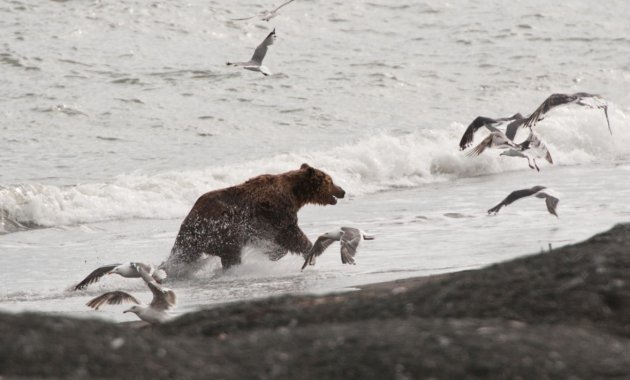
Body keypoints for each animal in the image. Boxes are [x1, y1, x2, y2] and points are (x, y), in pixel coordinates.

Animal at [162, 163, 346, 276]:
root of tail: (191, 217)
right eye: (330, 181)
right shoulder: (276, 213)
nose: (342, 190)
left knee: (186, 254)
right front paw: (305, 251)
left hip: (195, 238)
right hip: (222, 229)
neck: (296, 194)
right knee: (231, 251)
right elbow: (291, 234)